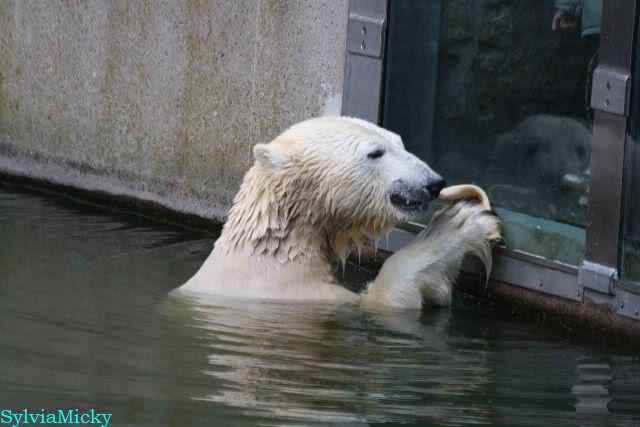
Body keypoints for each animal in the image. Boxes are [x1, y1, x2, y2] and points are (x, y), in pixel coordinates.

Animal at [178, 116, 500, 310]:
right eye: (375, 152)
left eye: (399, 141)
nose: (434, 183)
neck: (275, 253)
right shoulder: (304, 295)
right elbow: (386, 301)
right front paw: (457, 227)